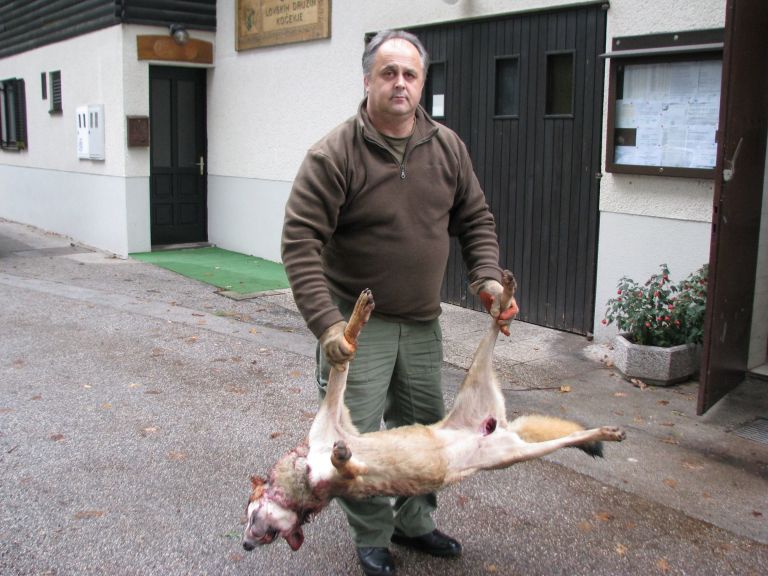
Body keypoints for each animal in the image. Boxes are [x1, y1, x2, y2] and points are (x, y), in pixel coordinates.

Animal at [243, 271, 625, 551]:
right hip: (512, 452)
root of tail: (495, 425)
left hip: (481, 385)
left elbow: (346, 350)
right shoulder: (345, 463)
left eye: (248, 516)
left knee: (495, 320)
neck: (305, 470)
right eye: (271, 536)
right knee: (567, 438)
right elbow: (347, 464)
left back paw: (503, 294)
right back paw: (605, 432)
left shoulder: (331, 418)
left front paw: (357, 316)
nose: (246, 545)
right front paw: (341, 458)